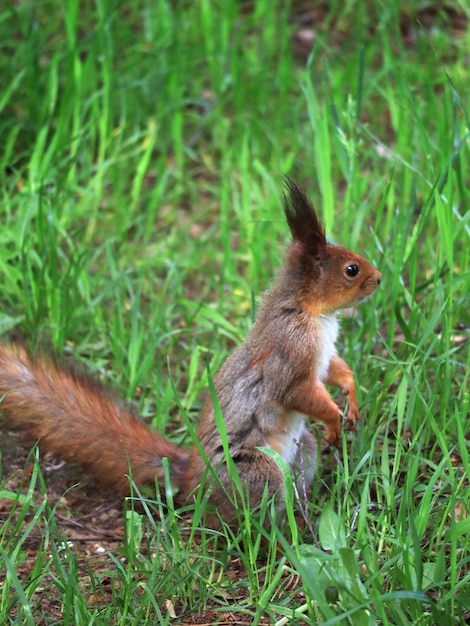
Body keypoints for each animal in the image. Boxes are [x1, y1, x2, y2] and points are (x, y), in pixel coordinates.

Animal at [0, 179, 382, 520]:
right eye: (351, 269)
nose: (379, 279)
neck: (311, 313)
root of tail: (192, 481)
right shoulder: (290, 355)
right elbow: (296, 392)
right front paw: (334, 417)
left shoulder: (323, 355)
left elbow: (337, 370)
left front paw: (351, 396)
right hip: (255, 473)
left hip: (303, 453)